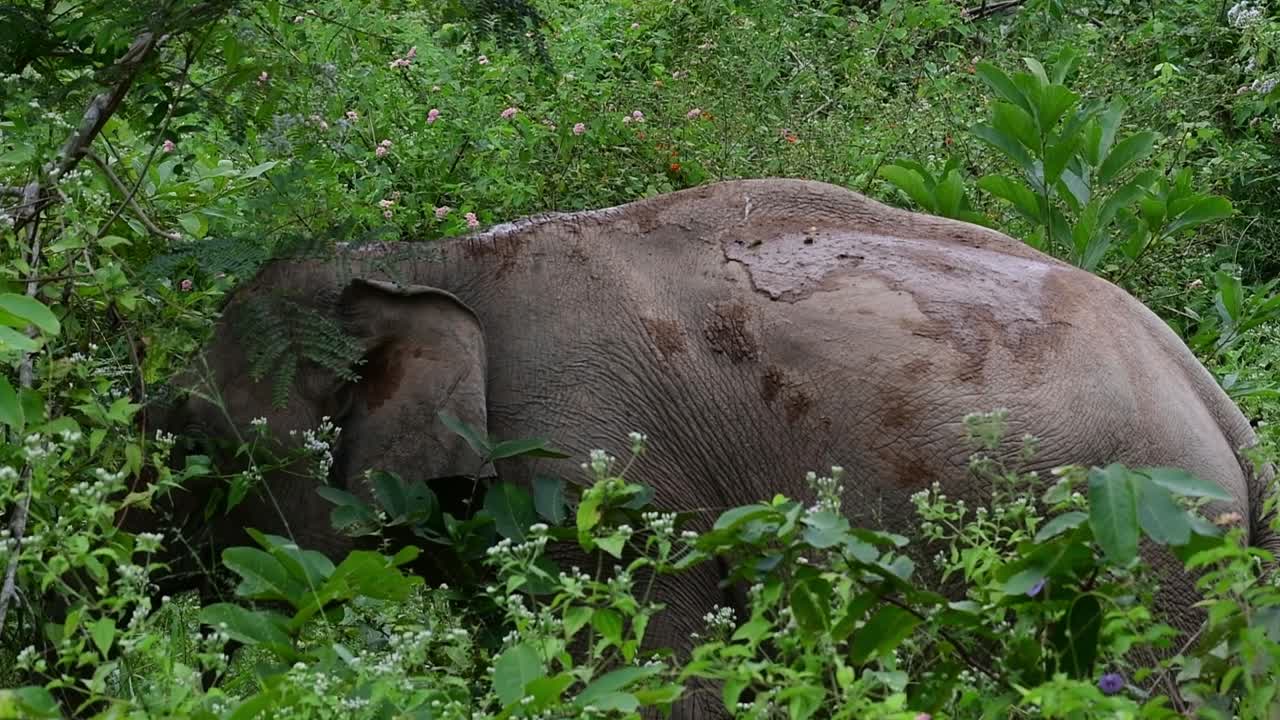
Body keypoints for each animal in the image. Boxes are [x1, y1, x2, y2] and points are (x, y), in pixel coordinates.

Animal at [138, 178, 1274, 716]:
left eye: (193, 436)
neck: (437, 256)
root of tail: (1221, 409)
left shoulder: (598, 469)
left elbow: (651, 677)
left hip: (1147, 560)